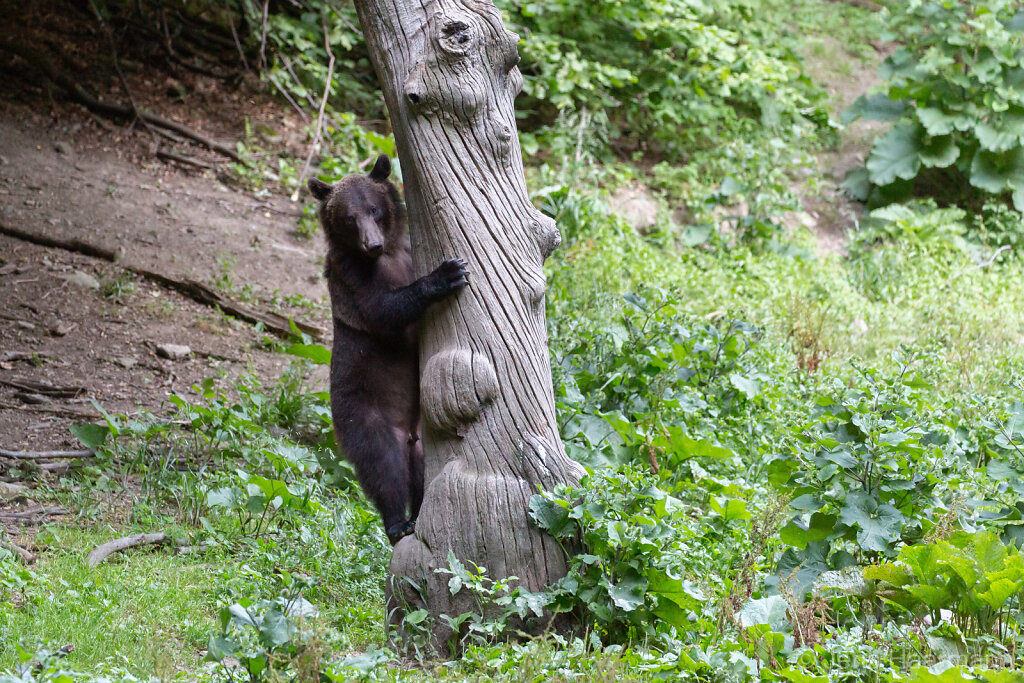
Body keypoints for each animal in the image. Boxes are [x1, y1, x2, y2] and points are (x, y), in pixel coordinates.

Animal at [307, 153, 468, 544]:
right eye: (348, 218)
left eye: (374, 209)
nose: (372, 245)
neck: (391, 254)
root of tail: (406, 431)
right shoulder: (351, 278)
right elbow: (384, 309)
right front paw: (447, 274)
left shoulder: (406, 252)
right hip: (362, 411)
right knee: (383, 466)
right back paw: (398, 522)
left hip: (423, 433)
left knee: (422, 470)